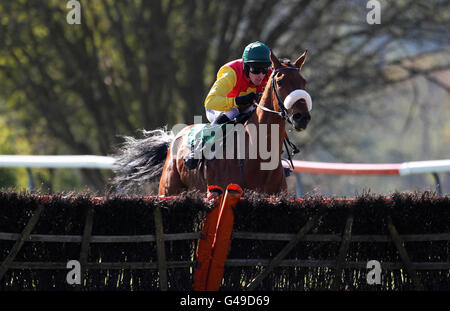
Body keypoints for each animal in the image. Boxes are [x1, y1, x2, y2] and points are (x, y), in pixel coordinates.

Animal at [110, 51, 312, 196]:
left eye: (303, 82)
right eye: (280, 82)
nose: (301, 117)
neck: (256, 156)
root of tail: (174, 139)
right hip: (168, 191)